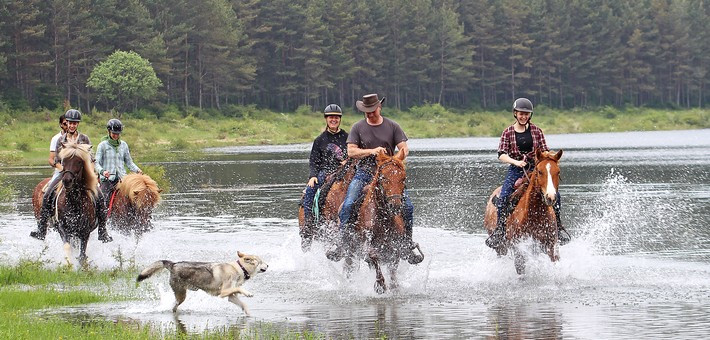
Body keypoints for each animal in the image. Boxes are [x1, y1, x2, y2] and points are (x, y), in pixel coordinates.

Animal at [136, 251, 268, 314]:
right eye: (261, 262)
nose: (268, 265)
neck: (239, 269)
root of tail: (173, 264)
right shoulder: (223, 292)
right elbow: (240, 289)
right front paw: (248, 293)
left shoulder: (231, 296)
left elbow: (244, 305)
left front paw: (248, 315)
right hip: (182, 296)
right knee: (173, 306)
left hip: (181, 296)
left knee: (174, 307)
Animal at [344, 150, 422, 294]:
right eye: (384, 178)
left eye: (403, 178)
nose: (395, 206)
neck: (383, 219)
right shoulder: (368, 245)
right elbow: (373, 257)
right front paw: (380, 285)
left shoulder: (396, 247)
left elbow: (393, 271)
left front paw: (394, 286)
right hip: (349, 249)